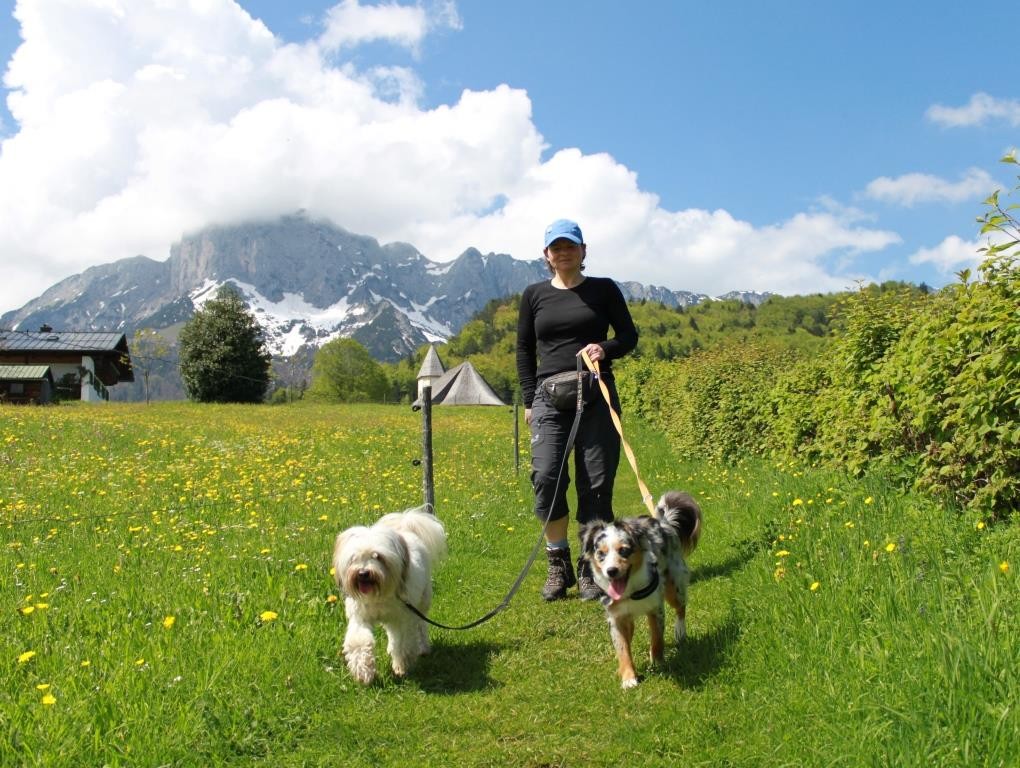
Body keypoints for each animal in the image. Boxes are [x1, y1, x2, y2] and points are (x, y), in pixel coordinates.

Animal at [332, 509, 448, 681]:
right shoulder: (360, 617)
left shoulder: (403, 618)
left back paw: (423, 648)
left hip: (421, 602)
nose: (363, 573)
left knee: (420, 626)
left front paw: (401, 667)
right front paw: (363, 671)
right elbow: (360, 642)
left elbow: (402, 643)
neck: (378, 594)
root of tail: (406, 525)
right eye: (354, 558)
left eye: (378, 556)